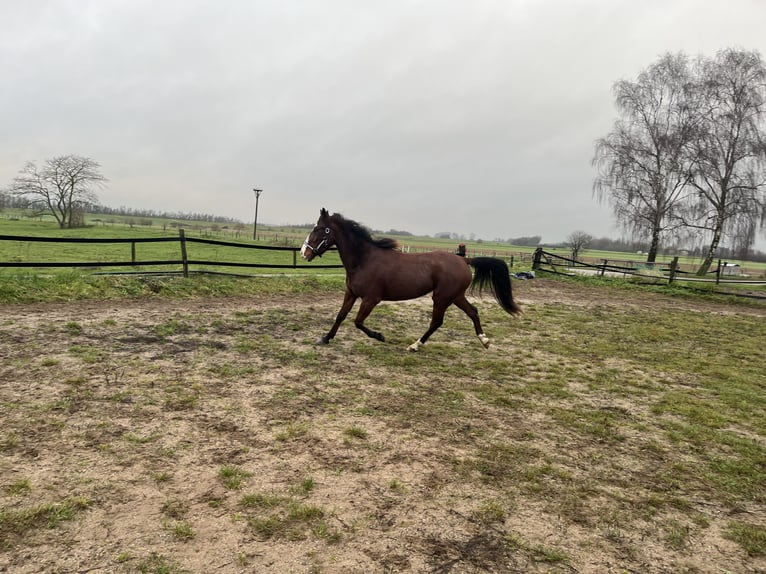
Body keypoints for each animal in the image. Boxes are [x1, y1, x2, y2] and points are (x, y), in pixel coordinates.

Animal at [300, 207, 520, 352]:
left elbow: (358, 321)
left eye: (319, 229)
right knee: (473, 312)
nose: (304, 252)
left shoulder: (371, 299)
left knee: (437, 321)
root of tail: (464, 259)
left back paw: (415, 345)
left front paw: (380, 336)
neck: (365, 260)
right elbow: (341, 316)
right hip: (455, 296)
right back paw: (485, 340)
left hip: (441, 298)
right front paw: (325, 338)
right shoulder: (351, 293)